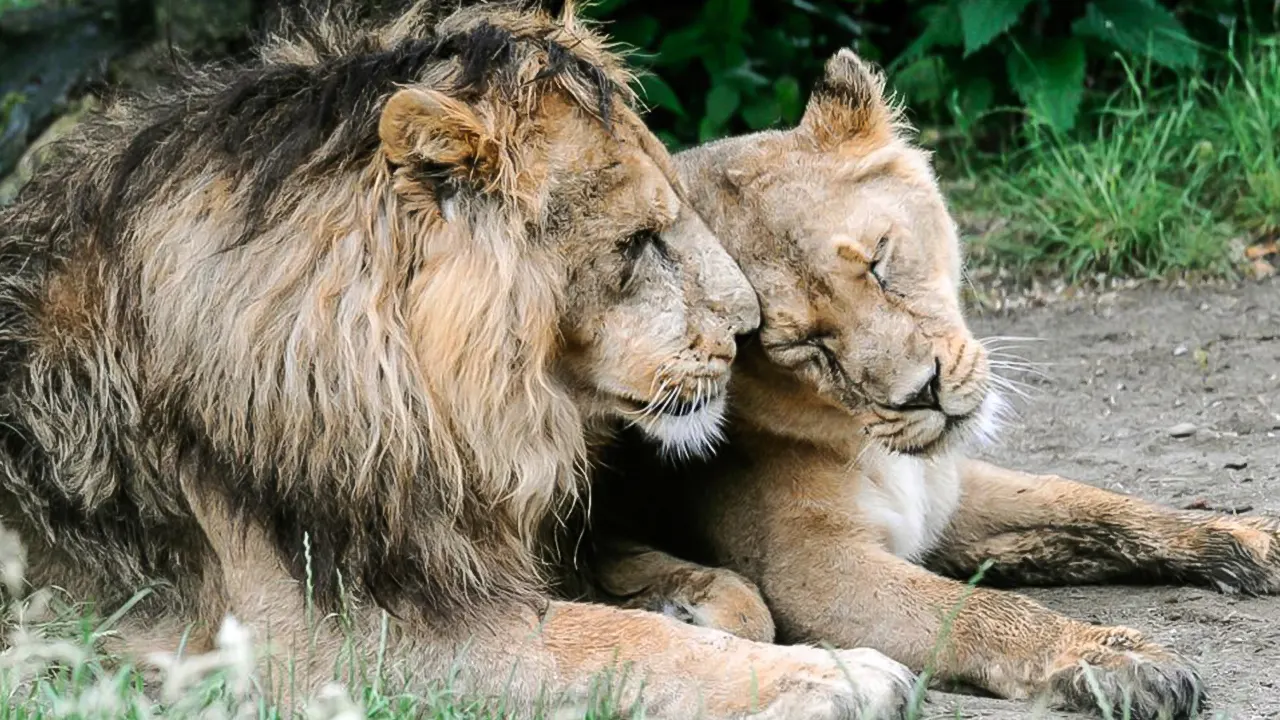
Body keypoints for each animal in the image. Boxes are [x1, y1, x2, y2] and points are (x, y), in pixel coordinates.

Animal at [0, 4, 911, 712]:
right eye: (638, 241)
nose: (749, 324)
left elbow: (728, 596)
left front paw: (710, 613)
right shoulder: (345, 647)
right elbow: (615, 641)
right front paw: (840, 676)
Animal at [586, 49, 1280, 717]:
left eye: (879, 259)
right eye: (803, 345)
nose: (923, 392)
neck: (867, 446)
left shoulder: (948, 500)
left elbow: (1092, 502)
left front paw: (1255, 540)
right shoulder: (810, 568)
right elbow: (976, 612)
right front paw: (1107, 658)